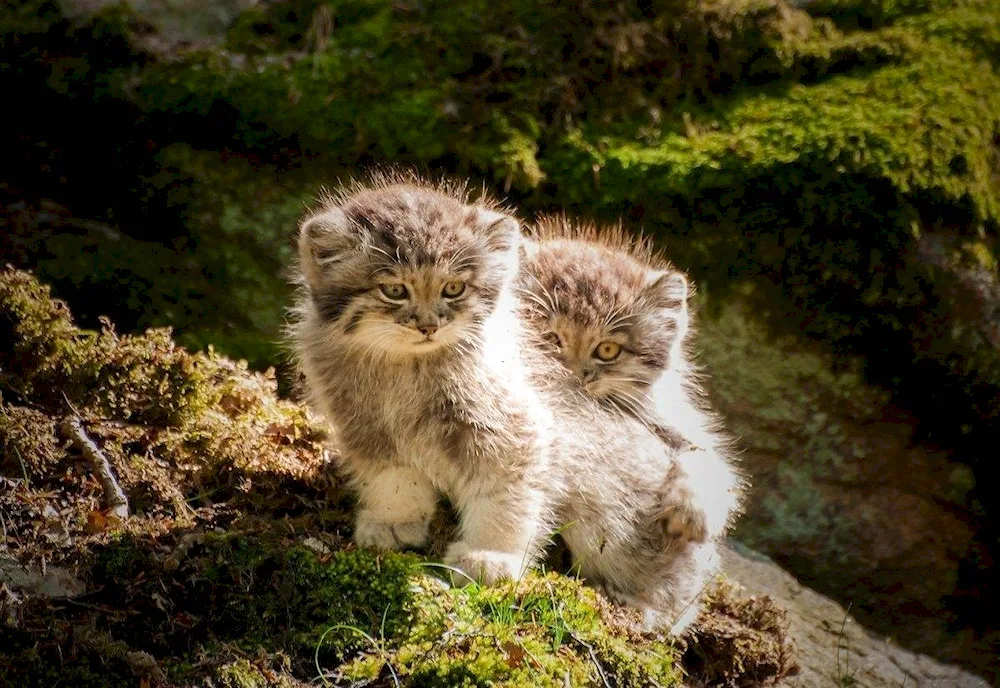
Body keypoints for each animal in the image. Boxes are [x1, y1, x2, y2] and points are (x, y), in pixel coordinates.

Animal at [292, 175, 556, 584]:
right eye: (395, 290)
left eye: (453, 288)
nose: (429, 326)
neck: (407, 372)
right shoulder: (368, 426)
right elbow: (393, 478)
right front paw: (395, 519)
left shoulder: (506, 425)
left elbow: (505, 494)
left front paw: (491, 553)